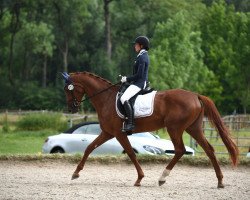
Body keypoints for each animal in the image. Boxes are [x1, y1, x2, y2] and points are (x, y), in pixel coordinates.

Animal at [62, 71, 238, 188]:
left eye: (69, 89)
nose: (71, 109)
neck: (106, 99)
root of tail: (195, 95)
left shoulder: (119, 133)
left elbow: (131, 153)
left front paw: (139, 178)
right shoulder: (108, 133)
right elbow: (89, 147)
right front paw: (76, 173)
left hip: (175, 128)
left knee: (180, 150)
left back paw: (162, 178)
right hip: (193, 129)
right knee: (209, 150)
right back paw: (220, 181)